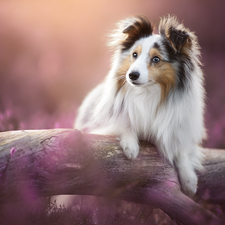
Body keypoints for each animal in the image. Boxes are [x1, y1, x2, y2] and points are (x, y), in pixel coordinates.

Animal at [74, 15, 207, 195]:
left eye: (156, 59)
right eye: (134, 55)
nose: (132, 75)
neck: (147, 91)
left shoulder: (178, 127)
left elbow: (181, 150)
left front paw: (189, 180)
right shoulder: (105, 124)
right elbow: (124, 124)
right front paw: (131, 147)